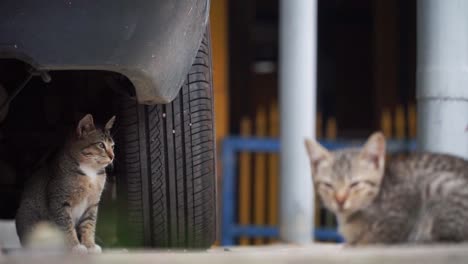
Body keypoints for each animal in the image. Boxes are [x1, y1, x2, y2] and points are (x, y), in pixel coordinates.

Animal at [16, 114, 116, 254]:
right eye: (101, 145)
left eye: (112, 146)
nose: (112, 156)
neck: (90, 171)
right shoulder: (59, 201)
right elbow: (67, 226)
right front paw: (75, 246)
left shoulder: (92, 203)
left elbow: (89, 225)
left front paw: (89, 245)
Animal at [306, 132, 468, 245]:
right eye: (328, 185)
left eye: (355, 184)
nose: (340, 200)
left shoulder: (404, 211)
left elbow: (373, 237)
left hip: (438, 185)